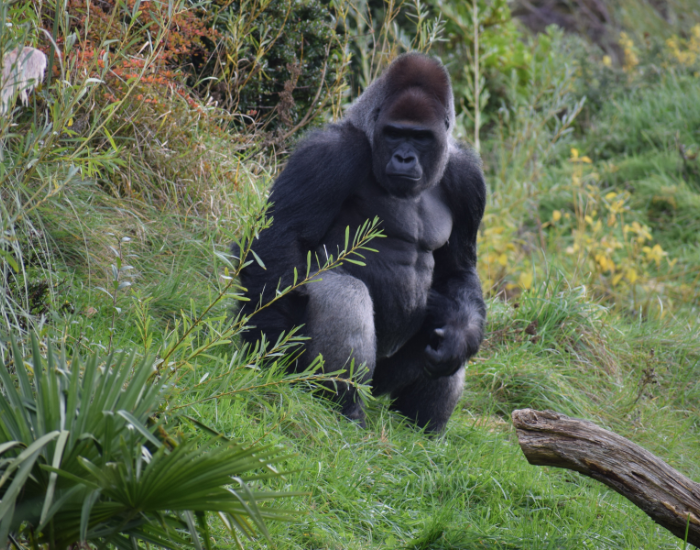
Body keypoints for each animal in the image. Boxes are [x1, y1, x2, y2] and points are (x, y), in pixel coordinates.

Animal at [237, 53, 486, 432]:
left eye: (420, 137)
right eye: (395, 133)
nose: (404, 158)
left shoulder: (468, 178)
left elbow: (457, 270)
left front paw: (459, 337)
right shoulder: (329, 153)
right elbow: (282, 236)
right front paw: (267, 340)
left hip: (387, 381)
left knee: (445, 308)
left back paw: (424, 428)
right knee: (343, 291)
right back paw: (346, 405)